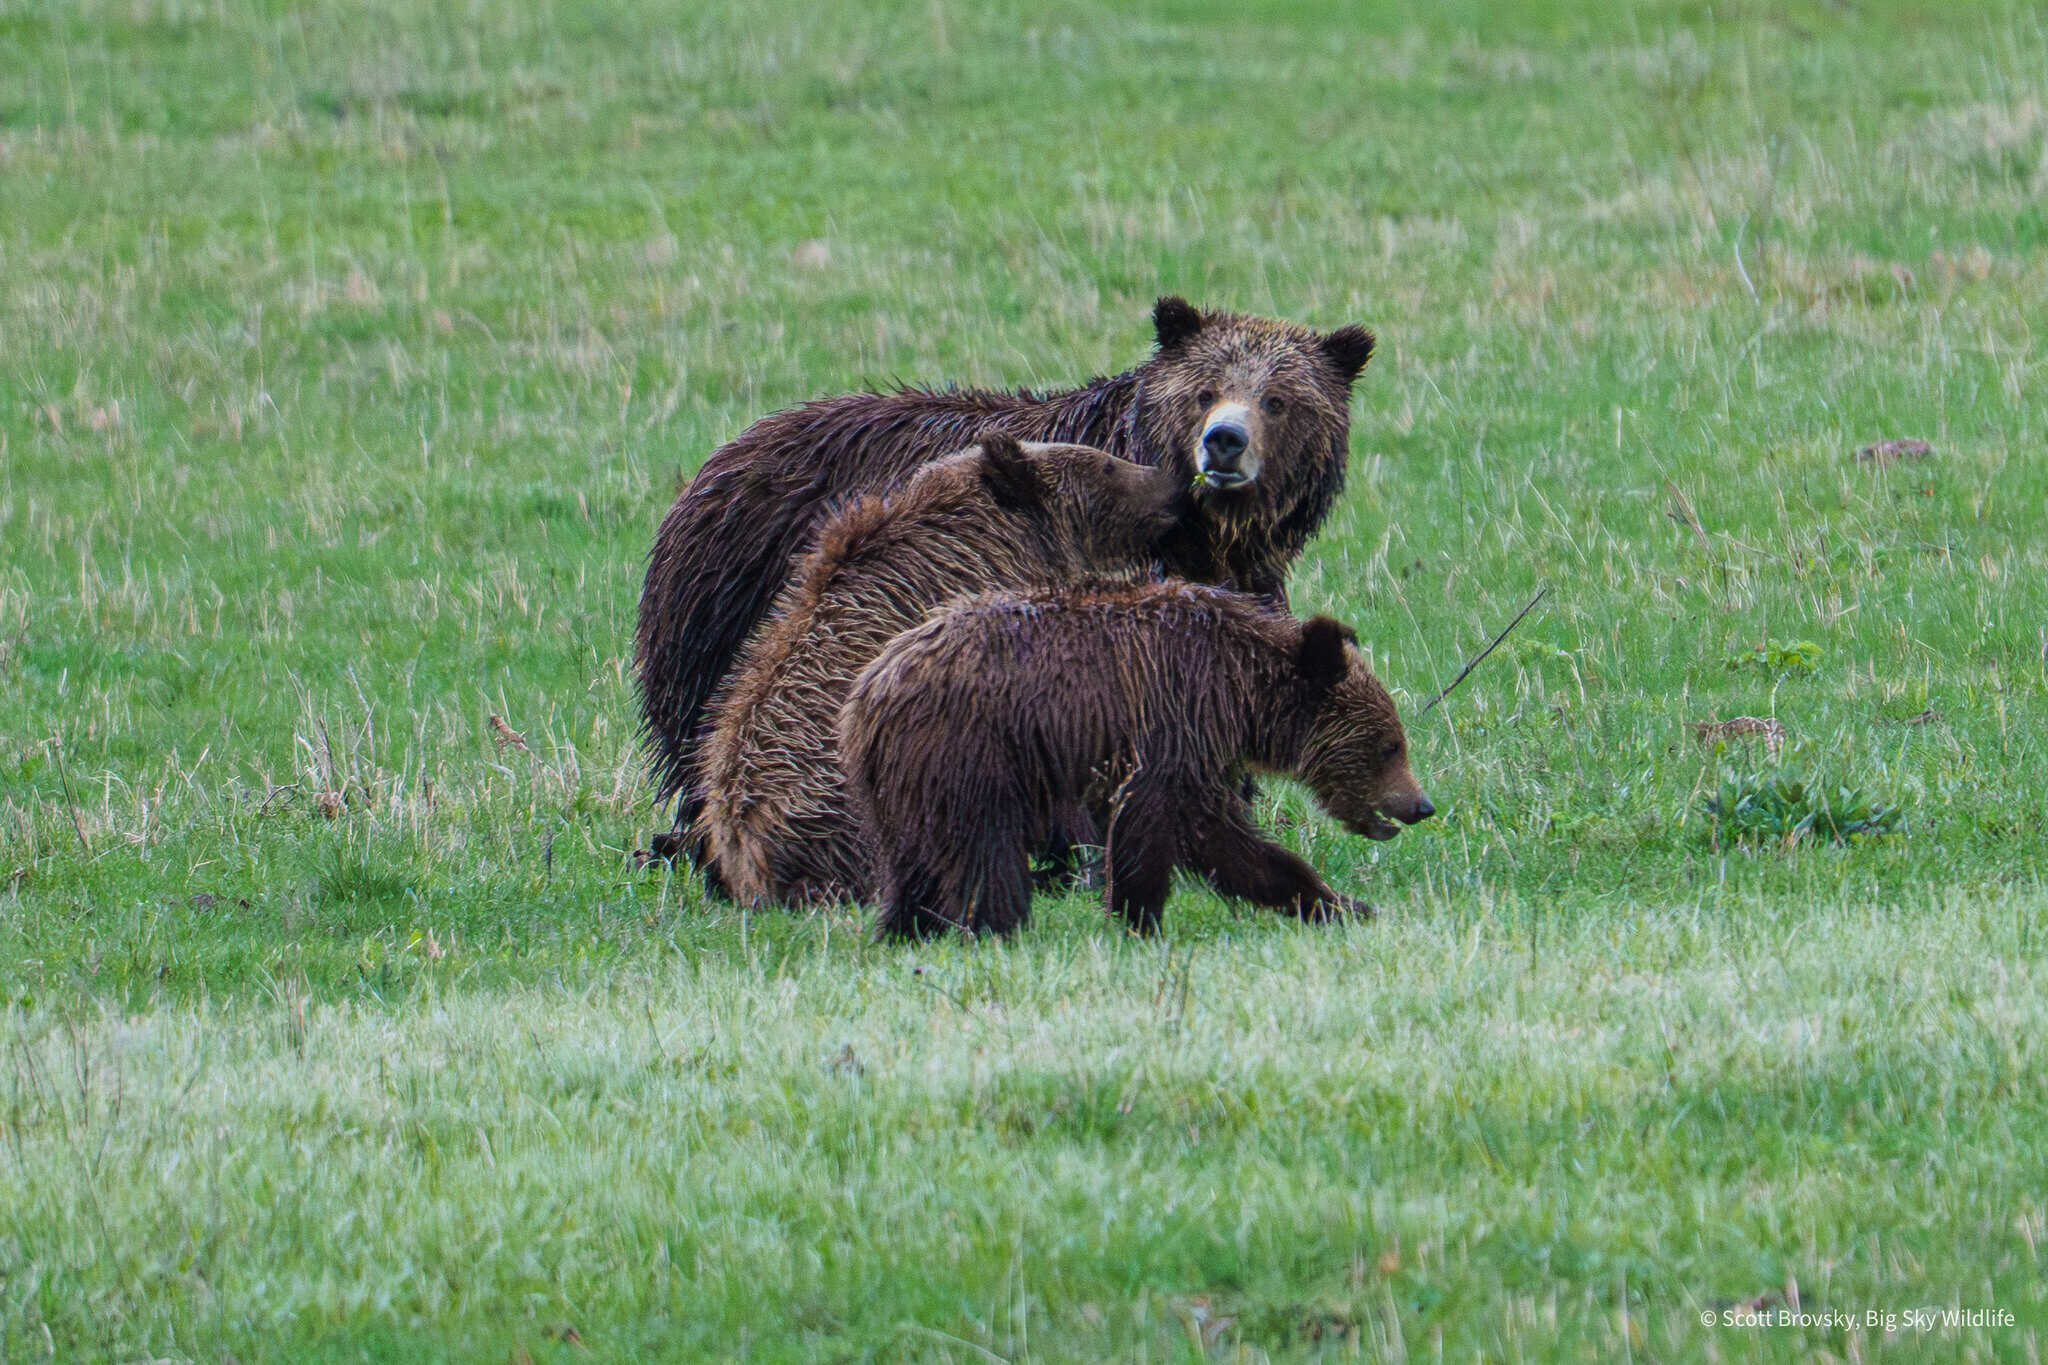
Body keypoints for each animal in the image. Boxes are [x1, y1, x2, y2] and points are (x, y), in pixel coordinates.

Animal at [636, 297, 1378, 846]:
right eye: (1204, 390)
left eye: (1279, 399)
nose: (1225, 441)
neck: (1208, 534)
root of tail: (711, 464)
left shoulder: (1241, 582)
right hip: (732, 615)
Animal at [837, 581, 1436, 940]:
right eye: (1389, 744)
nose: (1421, 805)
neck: (1240, 692)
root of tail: (870, 688)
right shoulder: (1172, 724)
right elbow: (1162, 825)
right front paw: (1139, 918)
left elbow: (1223, 843)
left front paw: (1342, 904)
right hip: (972, 752)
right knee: (985, 849)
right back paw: (994, 926)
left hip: (900, 782)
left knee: (912, 859)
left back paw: (907, 927)